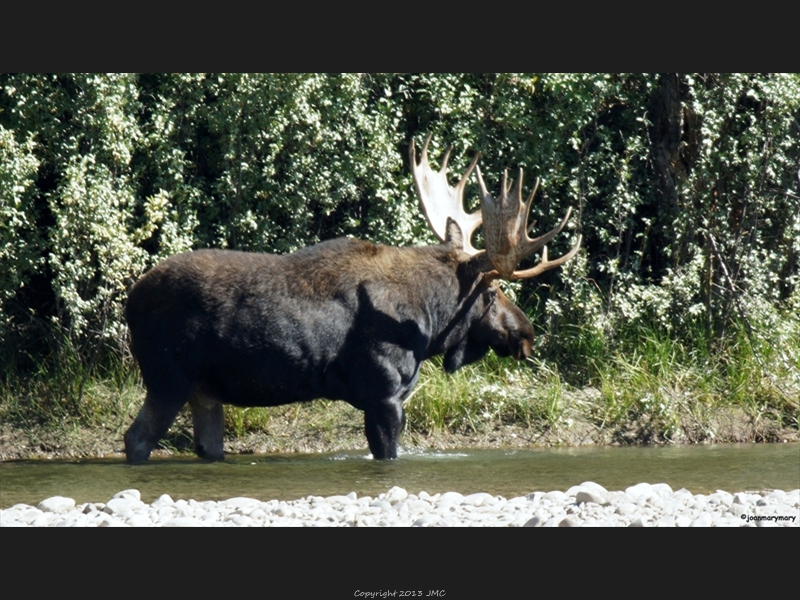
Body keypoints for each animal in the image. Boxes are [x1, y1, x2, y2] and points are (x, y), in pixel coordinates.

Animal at [122, 137, 580, 464]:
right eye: (491, 292)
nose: (526, 333)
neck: (430, 323)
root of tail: (129, 303)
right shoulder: (383, 393)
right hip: (169, 376)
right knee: (136, 439)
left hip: (204, 390)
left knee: (207, 447)